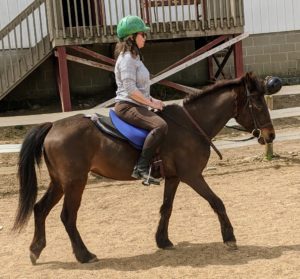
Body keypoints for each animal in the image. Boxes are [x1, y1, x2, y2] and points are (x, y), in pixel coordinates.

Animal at [14, 72, 276, 264]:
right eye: (257, 105)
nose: (270, 135)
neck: (192, 125)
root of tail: (52, 126)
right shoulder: (192, 176)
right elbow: (217, 202)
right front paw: (229, 237)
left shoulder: (174, 177)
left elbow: (166, 208)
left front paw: (163, 241)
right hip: (75, 183)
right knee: (68, 217)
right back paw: (84, 255)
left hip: (60, 183)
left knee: (40, 209)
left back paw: (35, 250)